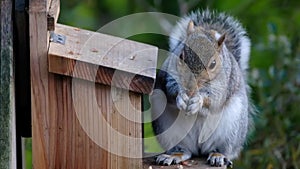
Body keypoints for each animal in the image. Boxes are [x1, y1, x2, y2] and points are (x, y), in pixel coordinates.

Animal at [150, 8, 253, 167]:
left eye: (213, 64)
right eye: (181, 56)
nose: (190, 88)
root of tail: (199, 148)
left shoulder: (225, 84)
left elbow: (215, 100)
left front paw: (198, 101)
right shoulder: (168, 75)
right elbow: (170, 88)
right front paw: (181, 97)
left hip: (232, 130)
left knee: (223, 148)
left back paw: (218, 155)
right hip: (168, 131)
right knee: (184, 150)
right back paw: (174, 155)